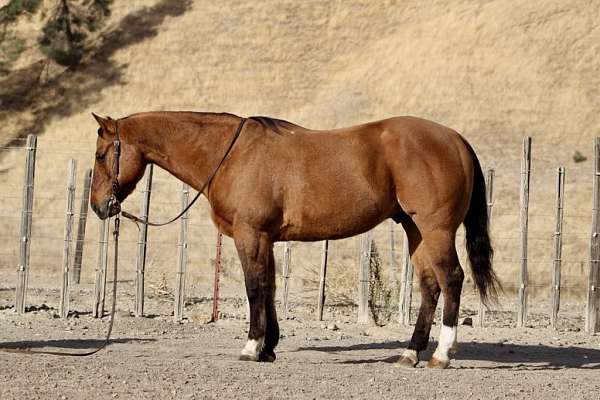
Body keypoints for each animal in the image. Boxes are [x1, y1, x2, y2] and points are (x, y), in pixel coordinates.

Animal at [89, 110, 500, 368]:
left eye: (100, 154)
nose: (99, 206)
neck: (231, 155)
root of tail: (455, 139)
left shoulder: (250, 234)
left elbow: (255, 287)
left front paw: (251, 346)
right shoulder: (266, 239)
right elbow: (269, 287)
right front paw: (269, 348)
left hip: (435, 229)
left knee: (452, 279)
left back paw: (441, 355)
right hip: (415, 230)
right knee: (430, 286)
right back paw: (410, 353)